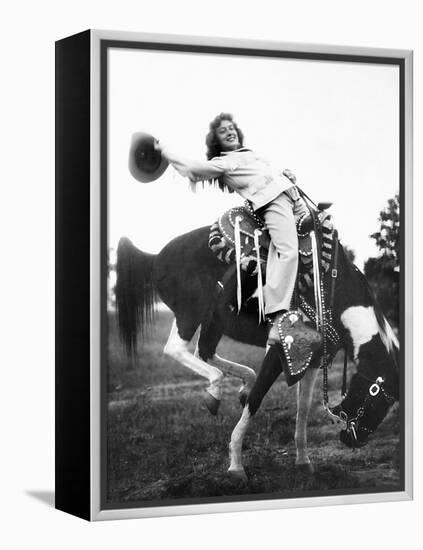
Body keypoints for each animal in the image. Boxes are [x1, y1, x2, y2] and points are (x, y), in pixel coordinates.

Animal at [116, 222, 400, 480]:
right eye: (378, 397)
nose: (354, 441)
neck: (330, 291)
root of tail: (156, 257)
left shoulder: (314, 359)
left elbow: (303, 409)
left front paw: (303, 461)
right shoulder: (278, 351)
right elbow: (257, 399)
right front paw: (235, 464)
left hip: (213, 322)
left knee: (204, 352)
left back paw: (237, 383)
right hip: (190, 312)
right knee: (177, 349)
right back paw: (215, 392)